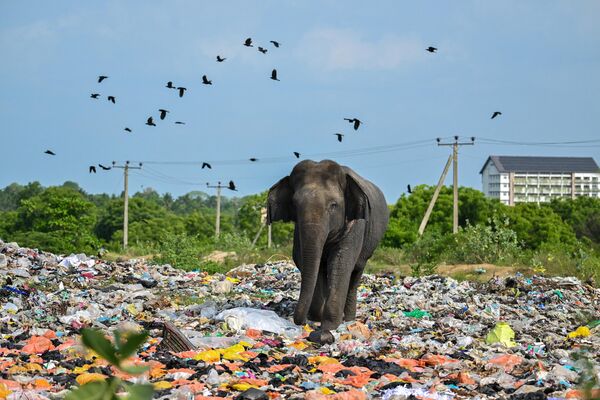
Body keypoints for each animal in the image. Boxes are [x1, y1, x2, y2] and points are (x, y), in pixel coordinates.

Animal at [268, 159, 390, 344]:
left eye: (333, 205)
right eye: (295, 204)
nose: (302, 322)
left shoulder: (356, 225)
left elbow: (340, 264)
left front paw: (329, 324)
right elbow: (304, 260)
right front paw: (318, 318)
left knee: (356, 271)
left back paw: (348, 318)